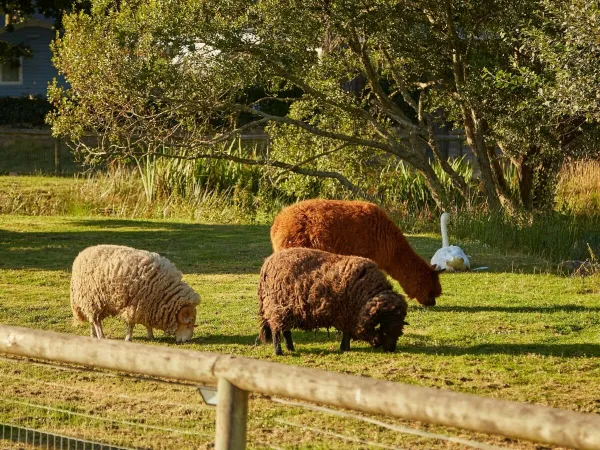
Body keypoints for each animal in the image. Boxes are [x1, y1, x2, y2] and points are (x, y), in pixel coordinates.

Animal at [69, 244, 202, 342]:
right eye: (189, 323)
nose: (187, 341)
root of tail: (82, 254)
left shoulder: (147, 306)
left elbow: (146, 323)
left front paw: (151, 335)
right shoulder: (136, 304)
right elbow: (131, 323)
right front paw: (128, 338)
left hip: (90, 301)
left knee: (92, 319)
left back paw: (93, 335)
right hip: (92, 298)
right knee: (96, 321)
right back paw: (101, 336)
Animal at [258, 246, 408, 356]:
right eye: (385, 326)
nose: (391, 349)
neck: (367, 294)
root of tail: (267, 262)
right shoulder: (347, 314)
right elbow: (346, 333)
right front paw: (345, 348)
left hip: (288, 308)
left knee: (285, 330)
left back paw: (290, 348)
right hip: (277, 305)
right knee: (276, 329)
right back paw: (279, 351)